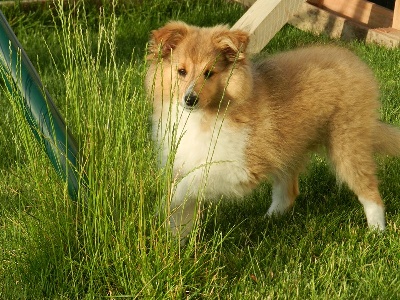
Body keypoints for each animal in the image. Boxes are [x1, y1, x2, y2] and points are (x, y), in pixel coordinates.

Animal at [146, 21, 400, 240]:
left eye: (209, 73)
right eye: (181, 71)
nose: (189, 99)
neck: (206, 115)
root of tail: (354, 60)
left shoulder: (242, 167)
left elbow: (188, 182)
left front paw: (162, 205)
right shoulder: (184, 161)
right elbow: (184, 207)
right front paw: (176, 241)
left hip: (347, 142)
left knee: (369, 190)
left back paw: (377, 231)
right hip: (287, 147)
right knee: (288, 192)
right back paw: (269, 219)